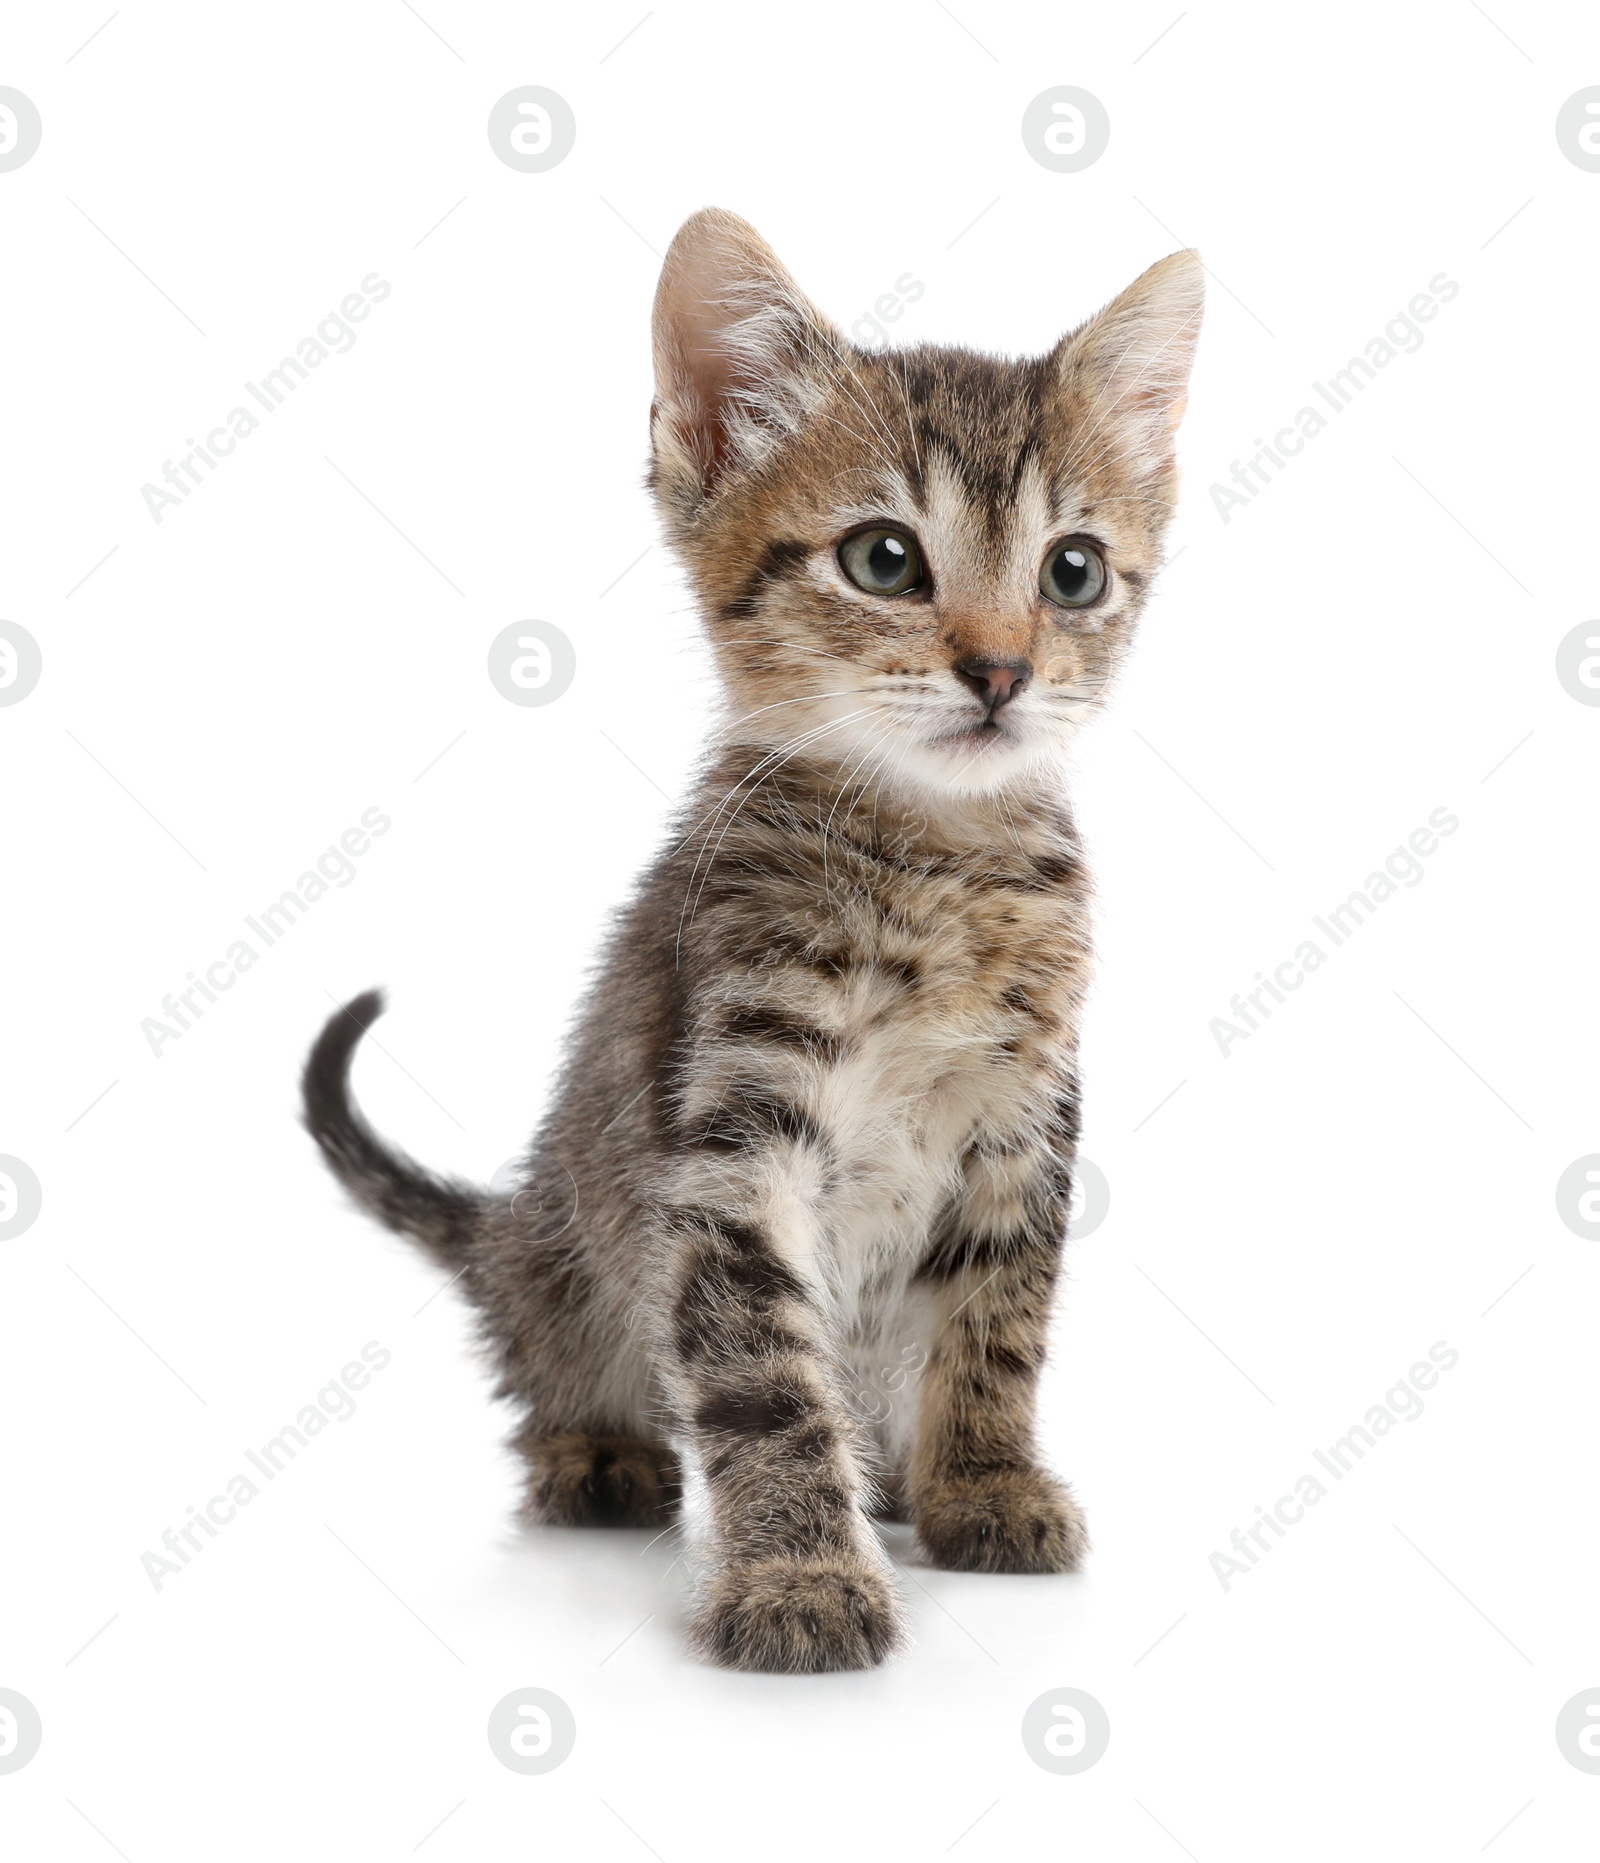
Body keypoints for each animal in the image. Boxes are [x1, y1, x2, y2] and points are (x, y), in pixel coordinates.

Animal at [303, 211, 1199, 1684]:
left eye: (1072, 570)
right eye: (885, 559)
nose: (1002, 669)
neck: (936, 864)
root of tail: (511, 1227)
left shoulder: (1026, 1120)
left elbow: (998, 1320)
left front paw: (982, 1481)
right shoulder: (732, 1133)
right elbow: (764, 1373)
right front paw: (799, 1571)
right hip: (564, 1266)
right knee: (560, 1362)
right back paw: (597, 1448)